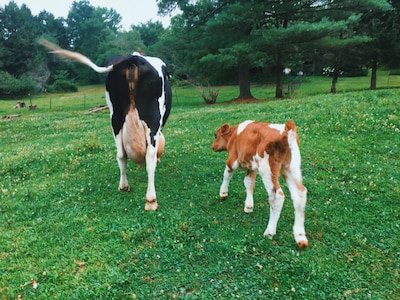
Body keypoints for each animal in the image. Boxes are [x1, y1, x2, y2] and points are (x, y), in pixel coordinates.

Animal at [40, 38, 172, 210]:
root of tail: (133, 58)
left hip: (115, 118)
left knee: (121, 154)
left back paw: (123, 186)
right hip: (152, 119)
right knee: (149, 155)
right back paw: (151, 200)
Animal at [212, 119, 310, 248]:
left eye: (215, 135)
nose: (212, 146)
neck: (234, 134)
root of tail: (287, 129)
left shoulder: (232, 159)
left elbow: (227, 173)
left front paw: (223, 193)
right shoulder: (251, 166)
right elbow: (248, 182)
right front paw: (248, 206)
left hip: (267, 169)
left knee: (277, 196)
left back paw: (269, 232)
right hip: (290, 168)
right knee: (300, 193)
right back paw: (300, 237)